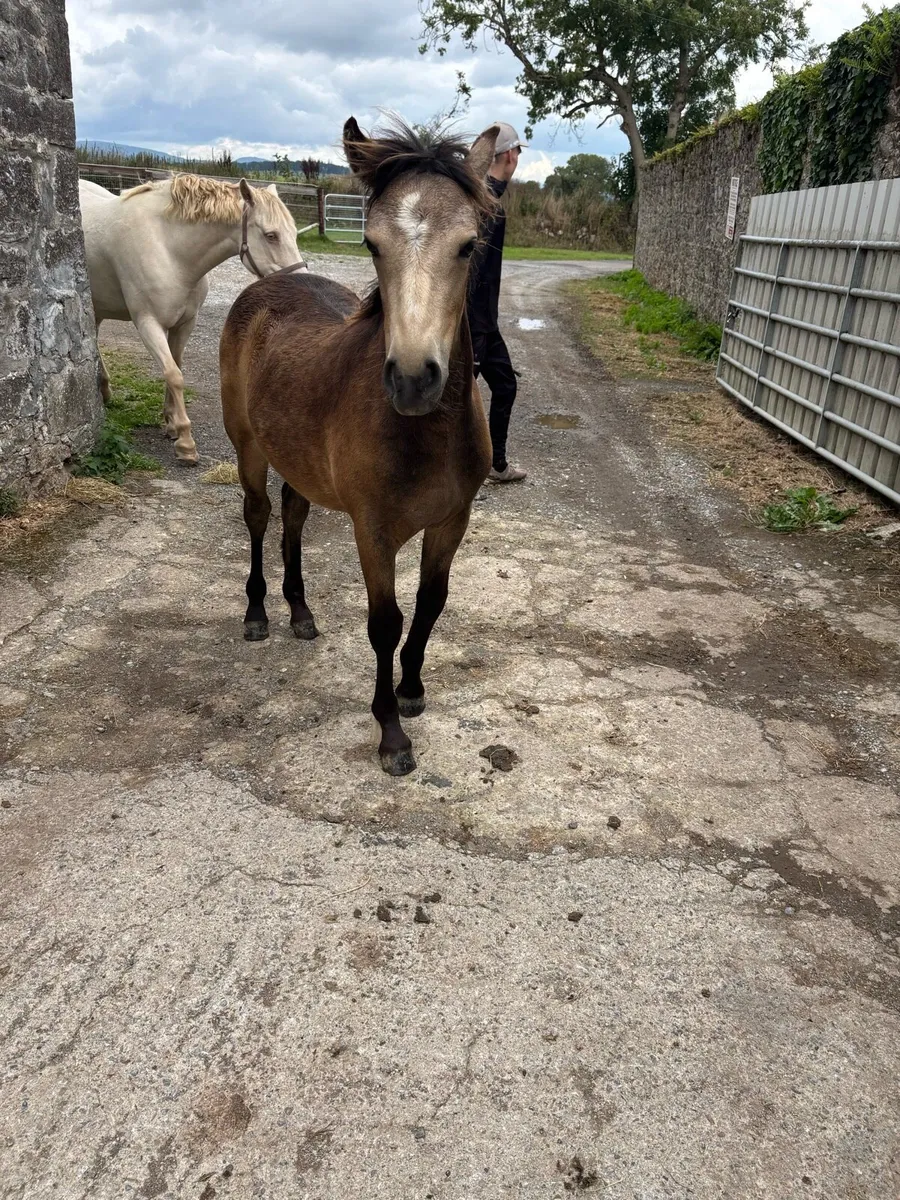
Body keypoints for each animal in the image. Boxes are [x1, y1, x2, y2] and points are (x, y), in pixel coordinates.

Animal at [79, 174, 304, 464]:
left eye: (294, 233)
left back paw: (105, 389)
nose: (300, 282)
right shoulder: (148, 323)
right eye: (271, 235)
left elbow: (176, 366)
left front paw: (171, 423)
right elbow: (173, 374)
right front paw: (185, 441)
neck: (169, 248)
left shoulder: (185, 323)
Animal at [219, 117, 500, 775]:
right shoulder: (373, 531)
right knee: (259, 515)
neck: (424, 435)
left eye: (468, 245)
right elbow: (385, 623)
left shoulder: (452, 521)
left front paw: (412, 690)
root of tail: (270, 283)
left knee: (293, 514)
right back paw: (258, 614)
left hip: (297, 459)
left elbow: (430, 604)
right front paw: (391, 734)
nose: (414, 379)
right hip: (249, 448)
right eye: (372, 244)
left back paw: (300, 613)